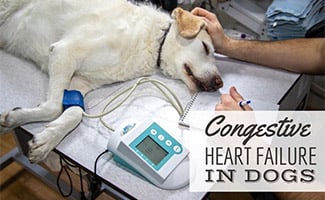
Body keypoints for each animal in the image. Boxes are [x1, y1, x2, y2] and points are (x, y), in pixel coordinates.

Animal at [0, 0, 221, 162]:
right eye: (205, 47)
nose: (220, 83)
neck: (154, 41)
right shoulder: (64, 52)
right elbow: (54, 107)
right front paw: (16, 119)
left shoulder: (80, 82)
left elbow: (74, 112)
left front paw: (45, 138)